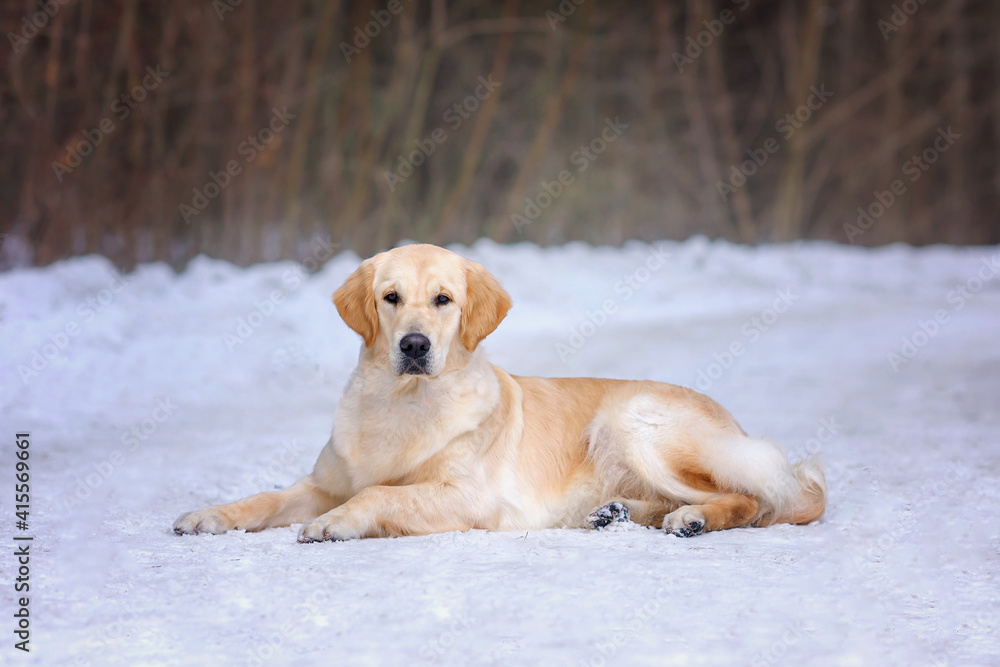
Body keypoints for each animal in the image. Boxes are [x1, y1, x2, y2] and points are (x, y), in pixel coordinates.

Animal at [174, 245, 828, 544]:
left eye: (443, 300)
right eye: (390, 297)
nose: (414, 345)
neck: (403, 401)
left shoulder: (470, 497)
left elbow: (381, 492)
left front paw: (336, 523)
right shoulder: (323, 481)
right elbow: (266, 497)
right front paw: (210, 513)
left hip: (633, 420)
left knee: (757, 499)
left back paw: (692, 518)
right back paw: (614, 513)